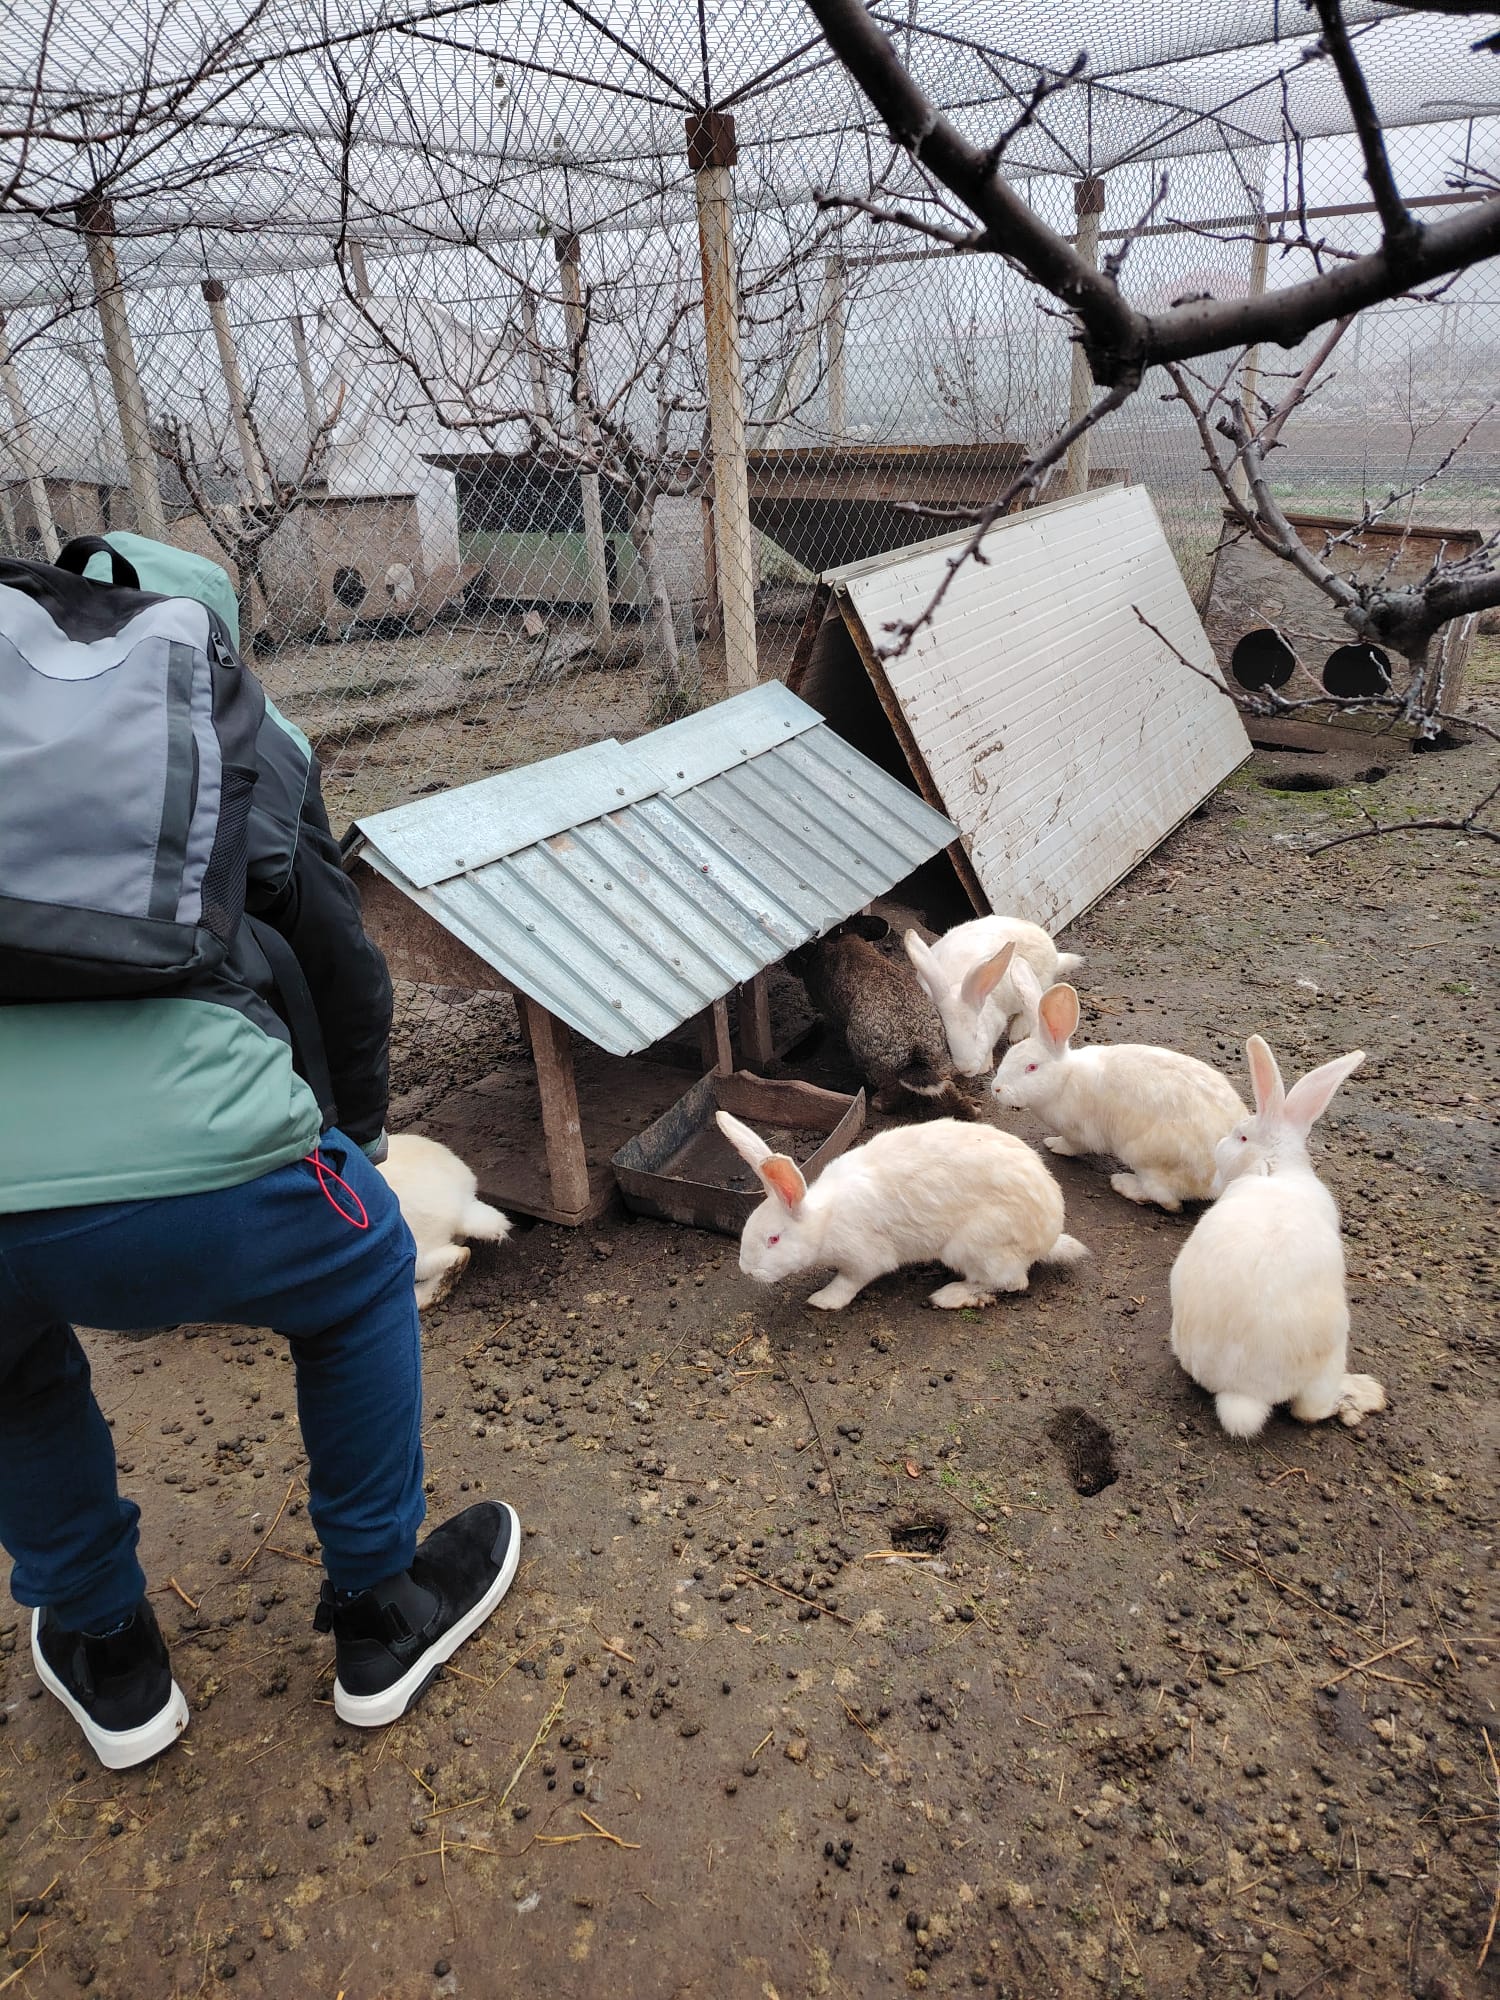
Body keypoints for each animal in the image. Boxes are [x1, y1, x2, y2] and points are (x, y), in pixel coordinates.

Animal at [715, 1108, 1089, 1311]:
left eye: (774, 1239)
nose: (746, 1270)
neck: (824, 1221)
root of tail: (1046, 1238)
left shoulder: (864, 1259)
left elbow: (849, 1282)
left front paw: (823, 1300)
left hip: (975, 1245)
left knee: (1012, 1282)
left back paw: (951, 1296)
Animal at [786, 915, 966, 1114]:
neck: (842, 938)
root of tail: (914, 1050)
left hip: (869, 1058)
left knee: (892, 1089)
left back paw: (879, 1103)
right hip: (939, 1056)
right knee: (947, 1086)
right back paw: (971, 1110)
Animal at [905, 916, 1085, 1076]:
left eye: (976, 1035)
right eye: (948, 1042)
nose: (966, 1069)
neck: (957, 985)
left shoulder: (997, 1021)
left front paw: (985, 1067)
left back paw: (1017, 1033)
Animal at [992, 960, 1246, 1210]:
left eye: (1031, 1067)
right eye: (1008, 1057)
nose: (996, 1089)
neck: (1064, 1080)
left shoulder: (1079, 1132)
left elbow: (1072, 1145)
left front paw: (1054, 1145)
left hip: (1148, 1160)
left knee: (1168, 1200)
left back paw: (1124, 1184)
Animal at [1169, 1035, 1384, 1440]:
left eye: (1240, 1136)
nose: (1220, 1144)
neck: (1272, 1167)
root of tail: (1243, 1391)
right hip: (1329, 1357)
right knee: (1310, 1411)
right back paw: (1361, 1393)